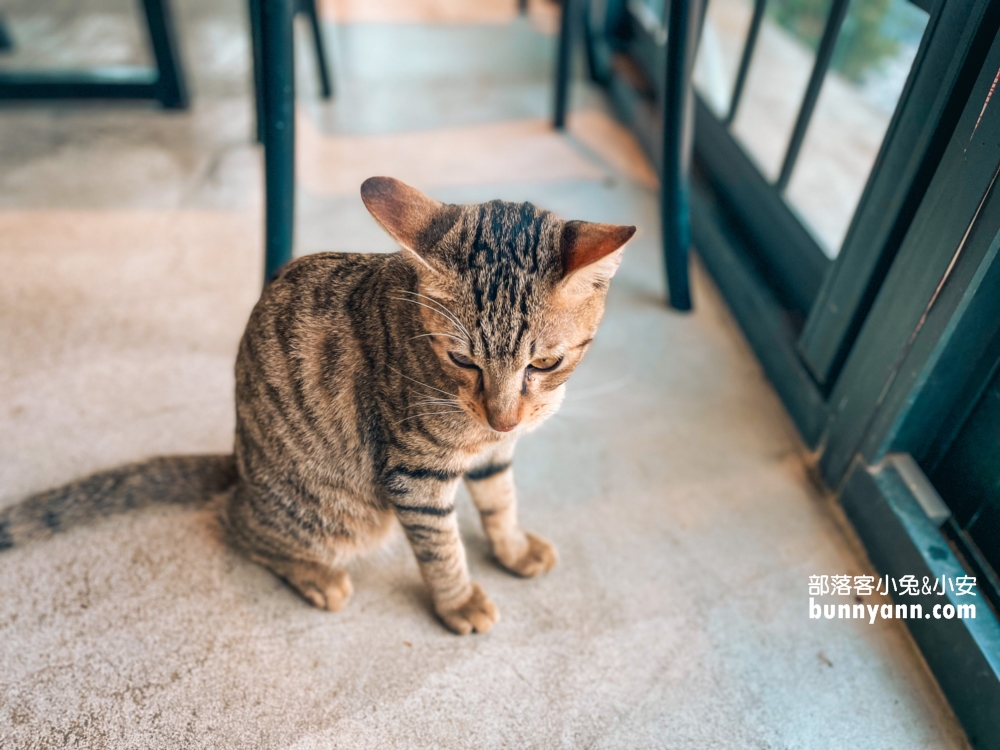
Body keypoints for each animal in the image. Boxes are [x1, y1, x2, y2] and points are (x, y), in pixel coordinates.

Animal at [0, 179, 636, 636]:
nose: (503, 417)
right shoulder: (415, 476)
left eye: (545, 364)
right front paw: (458, 602)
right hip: (336, 514)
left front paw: (513, 548)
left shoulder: (492, 453)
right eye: (463, 359)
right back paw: (315, 575)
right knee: (237, 523)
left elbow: (501, 502)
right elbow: (443, 549)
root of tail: (239, 463)